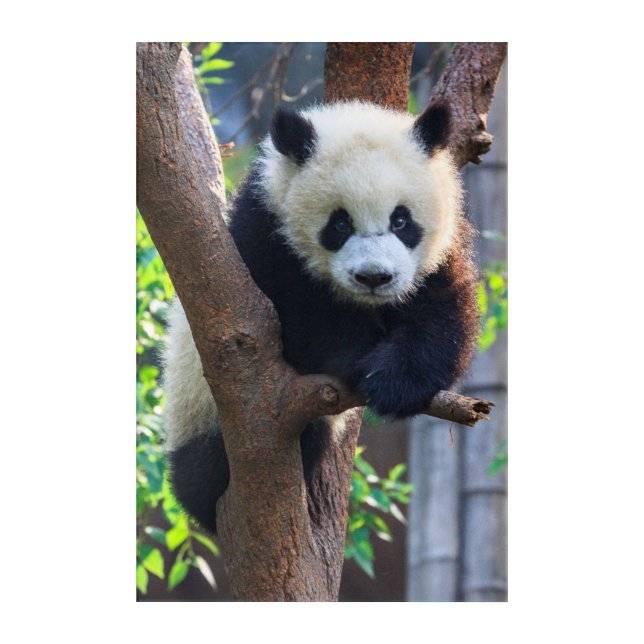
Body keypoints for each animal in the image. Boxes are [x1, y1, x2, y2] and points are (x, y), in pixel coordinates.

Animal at [162, 100, 480, 534]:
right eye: (339, 223)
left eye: (401, 220)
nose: (374, 277)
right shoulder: (262, 238)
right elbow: (295, 321)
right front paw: (360, 360)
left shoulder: (438, 253)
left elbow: (442, 314)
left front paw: (395, 382)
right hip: (197, 408)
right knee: (206, 469)